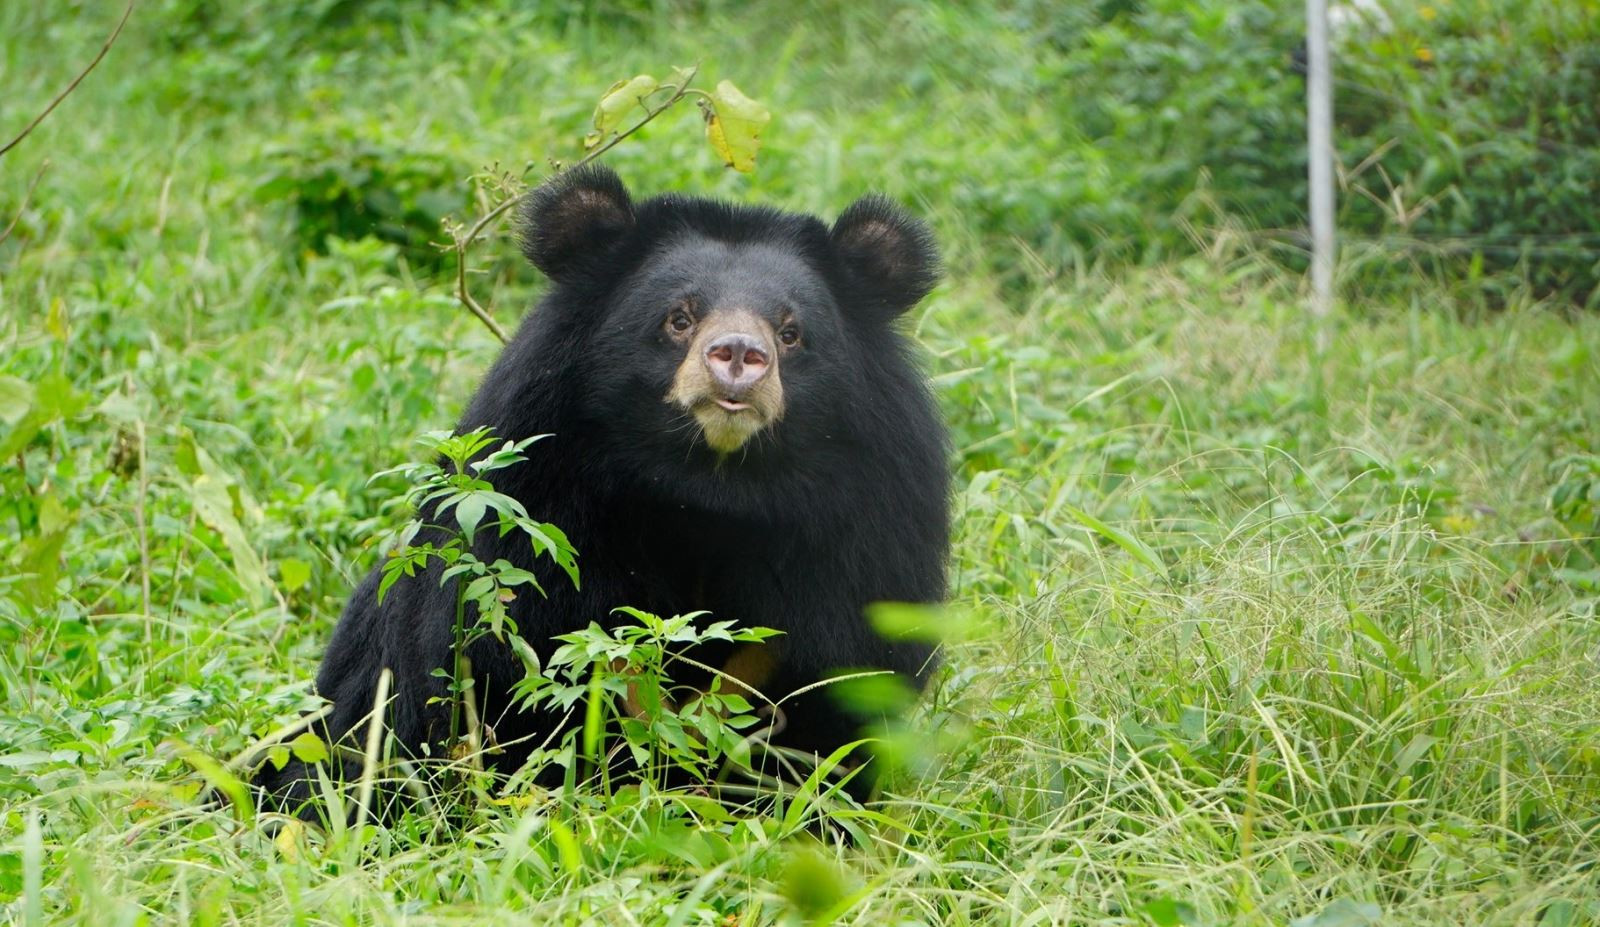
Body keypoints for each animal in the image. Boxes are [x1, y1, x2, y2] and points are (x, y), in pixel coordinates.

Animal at [254, 166, 940, 813]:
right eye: (679, 318)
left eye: (791, 332)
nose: (740, 355)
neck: (707, 493)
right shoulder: (540, 509)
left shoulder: (860, 537)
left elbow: (834, 689)